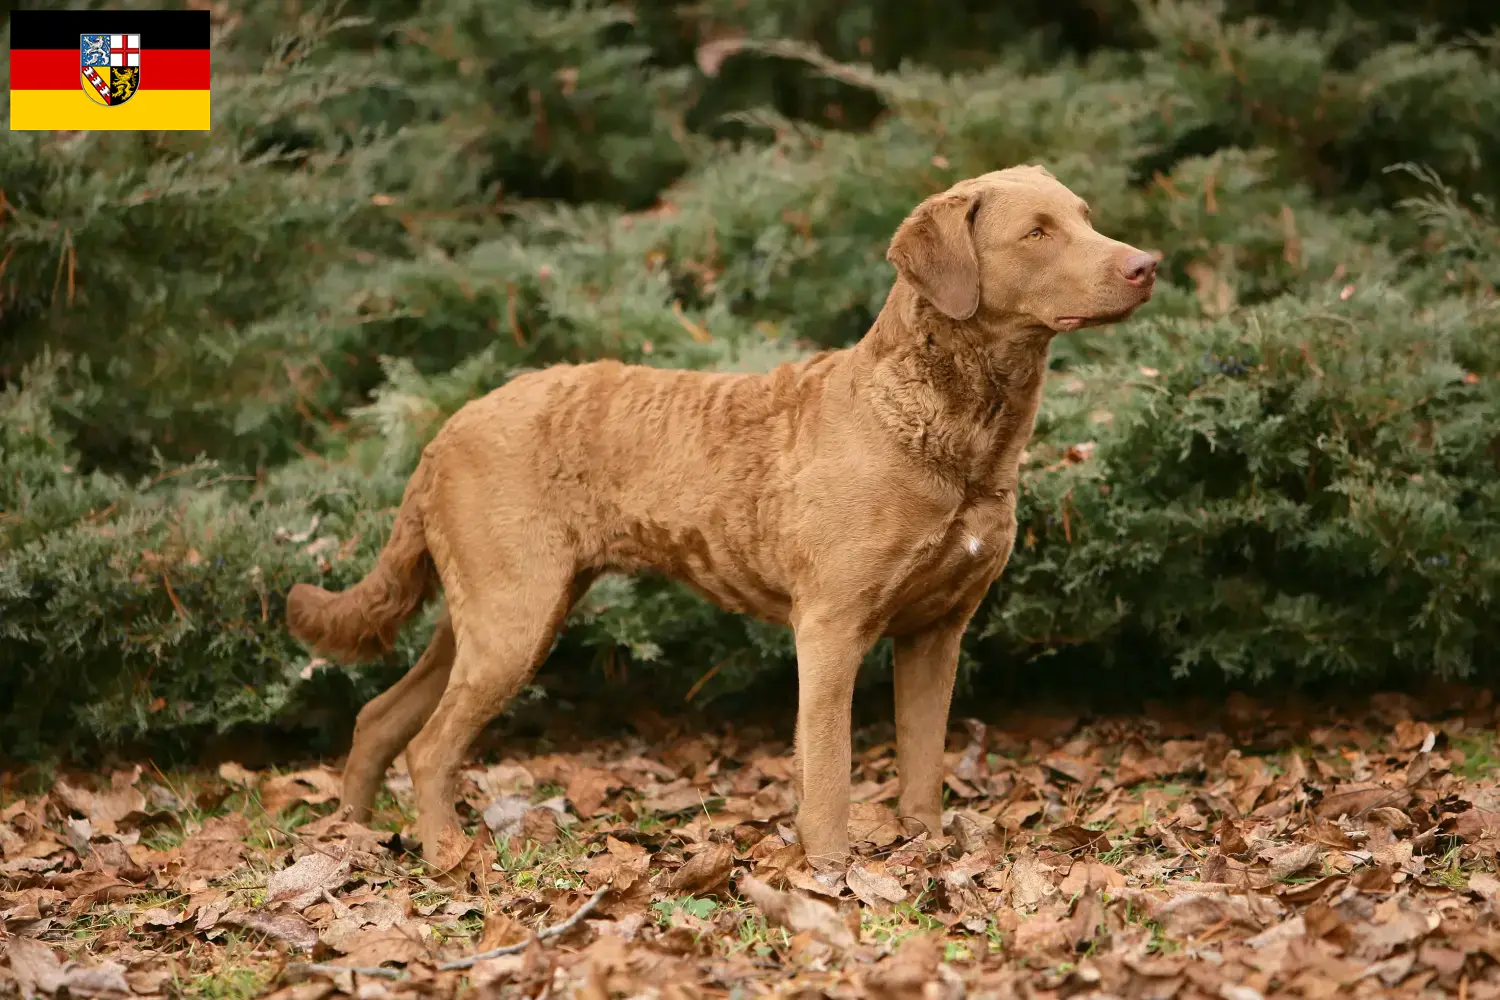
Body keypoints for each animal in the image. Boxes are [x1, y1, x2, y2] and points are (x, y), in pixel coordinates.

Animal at [292, 162, 1158, 869]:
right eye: (1037, 233)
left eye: (1085, 216)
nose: (1146, 264)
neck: (948, 432)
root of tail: (446, 428)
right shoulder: (832, 627)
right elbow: (829, 769)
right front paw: (832, 872)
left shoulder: (936, 631)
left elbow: (923, 763)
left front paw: (926, 852)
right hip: (513, 616)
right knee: (429, 744)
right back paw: (445, 854)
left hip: (491, 611)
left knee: (379, 716)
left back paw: (353, 838)